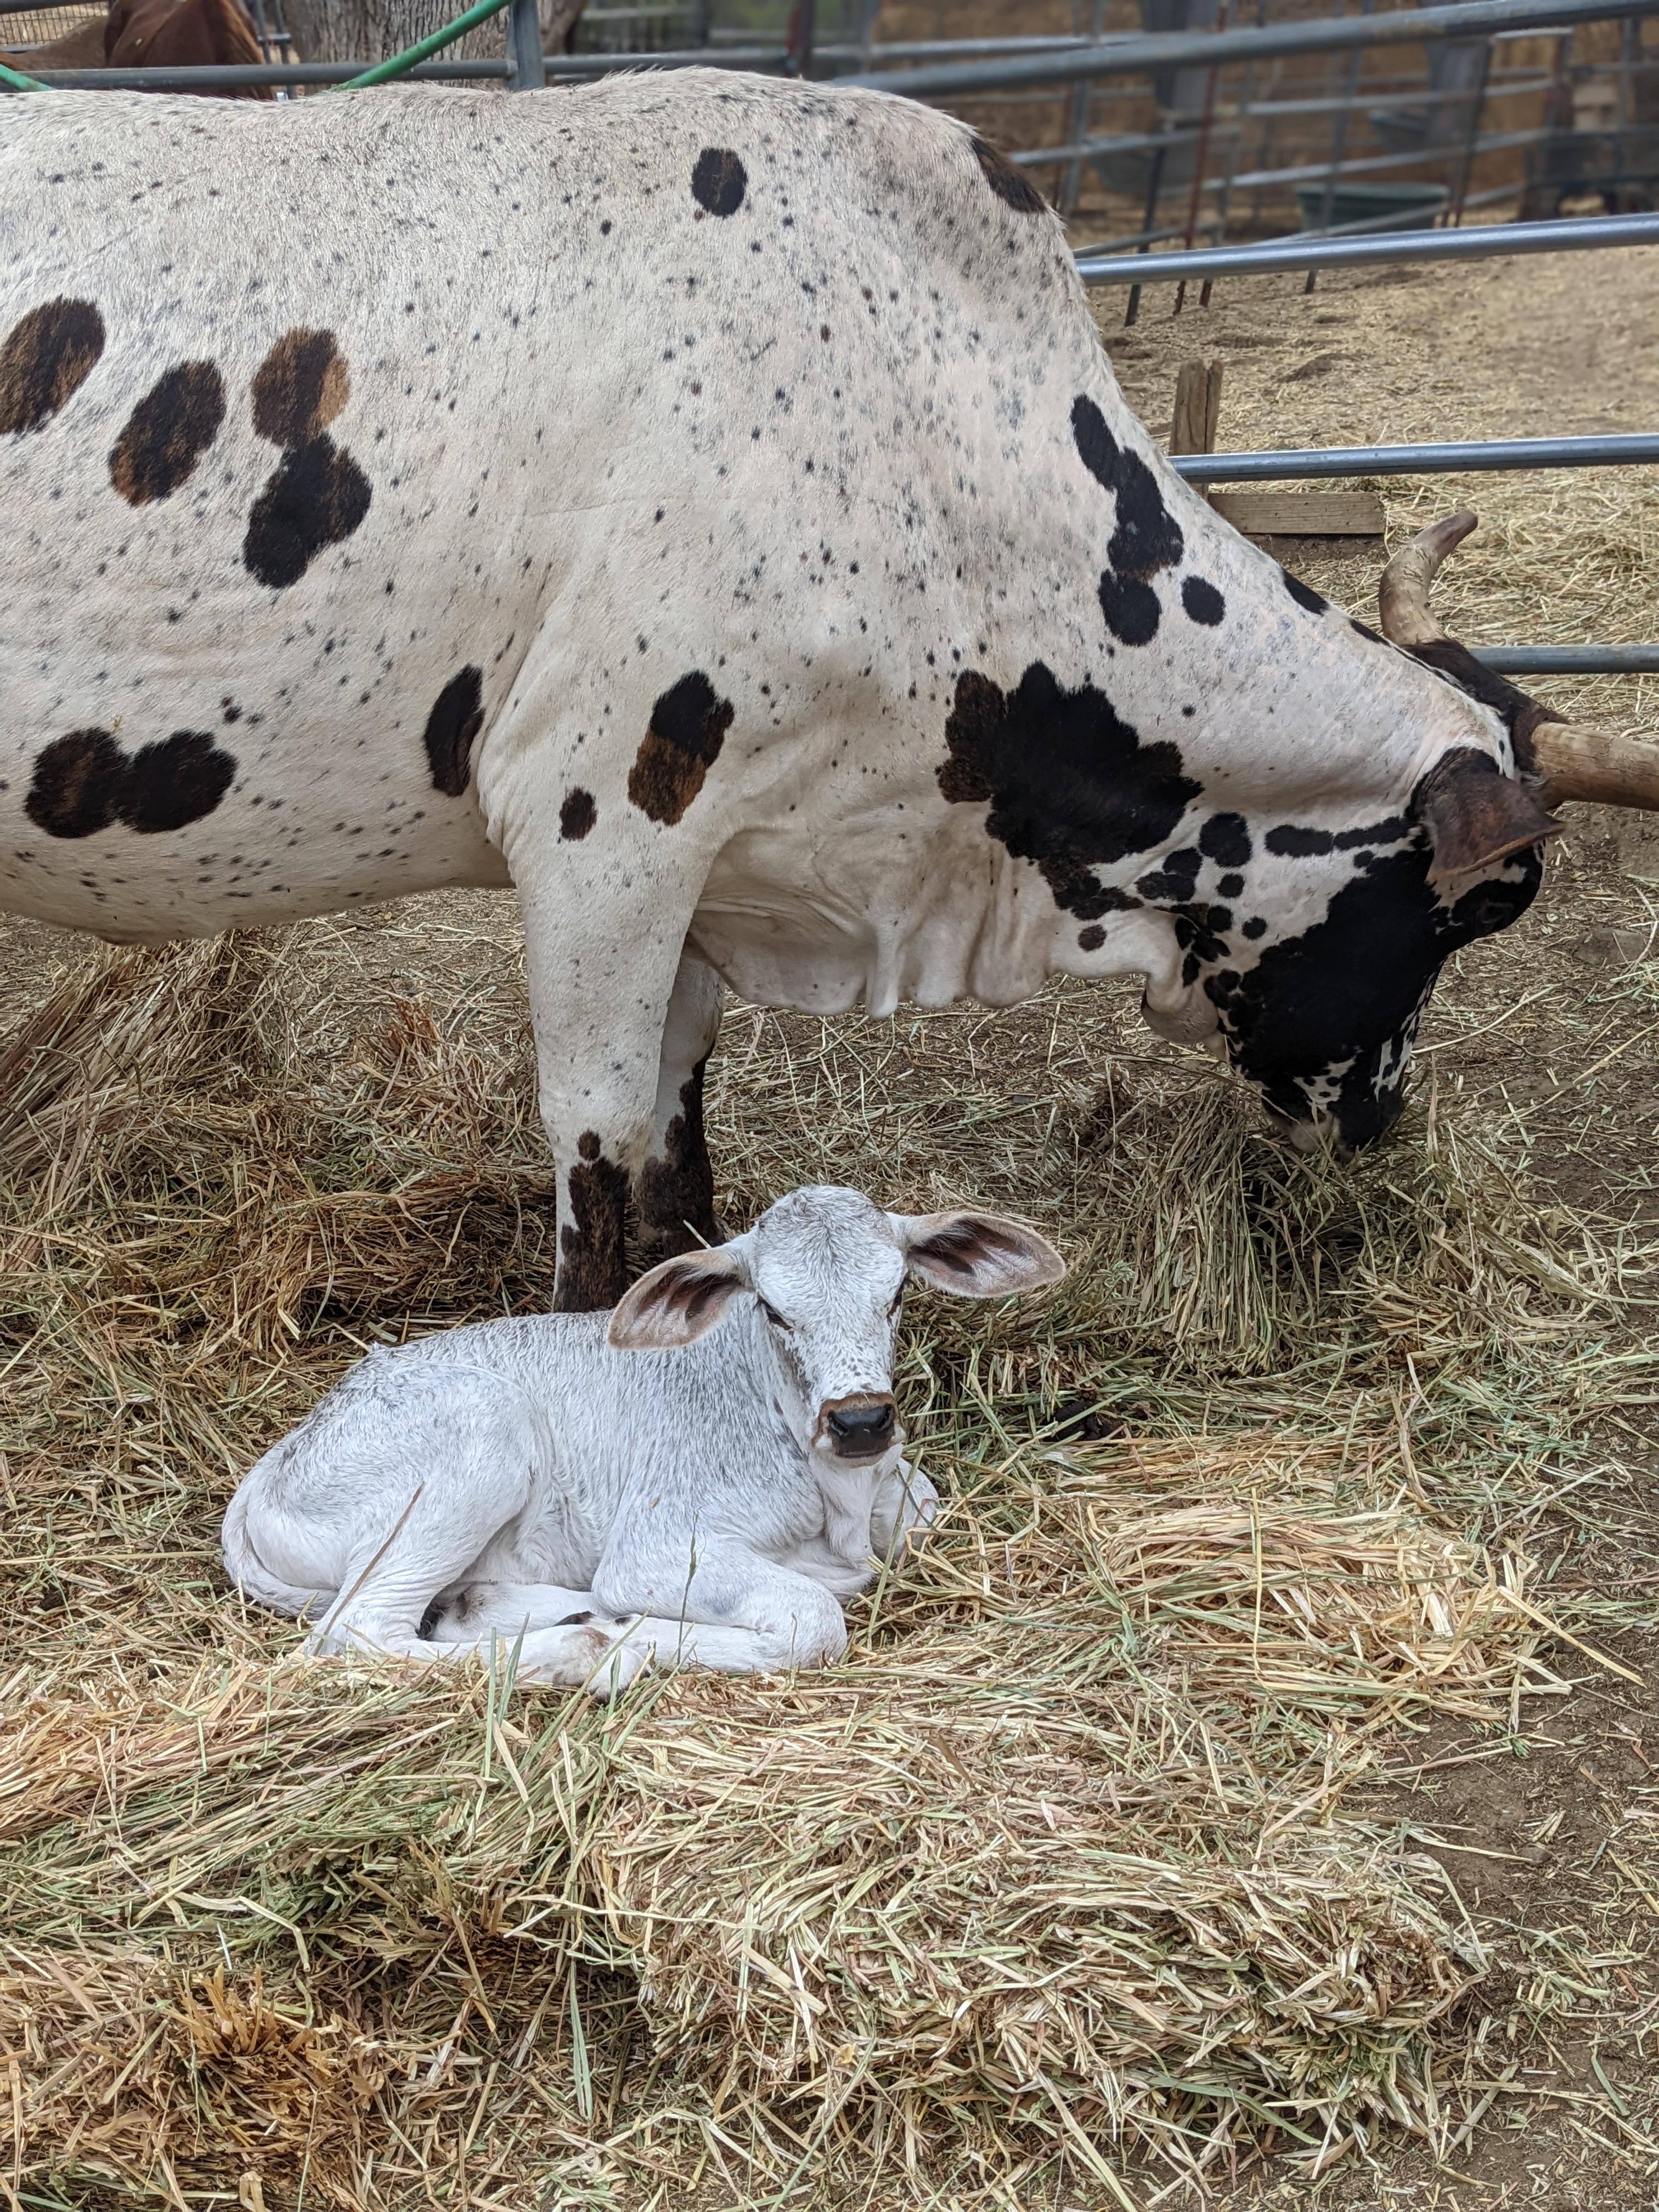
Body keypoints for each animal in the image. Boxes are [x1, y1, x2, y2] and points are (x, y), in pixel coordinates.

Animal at [2, 75, 1655, 1311]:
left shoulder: (712, 864)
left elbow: (683, 1137)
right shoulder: (602, 829)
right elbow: (599, 1149)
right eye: (1479, 911)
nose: (1377, 1125)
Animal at [221, 1186, 1065, 1685]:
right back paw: (582, 1647)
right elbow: (812, 1621)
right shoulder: (657, 1546)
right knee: (358, 1630)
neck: (839, 1498)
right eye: (772, 1310)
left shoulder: (905, 1496)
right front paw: (633, 1640)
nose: (860, 1421)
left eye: (895, 1295)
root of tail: (275, 1463)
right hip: (475, 1445)